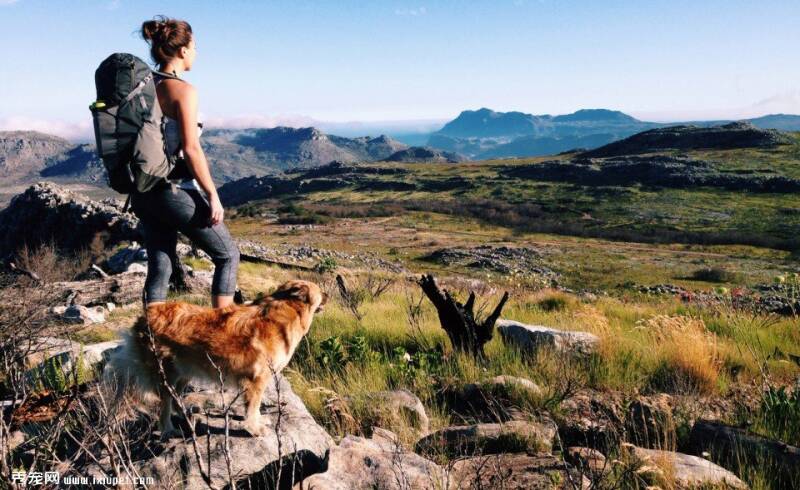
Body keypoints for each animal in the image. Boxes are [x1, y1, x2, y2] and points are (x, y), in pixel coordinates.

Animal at [107, 280, 328, 436]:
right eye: (319, 291)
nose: (328, 294)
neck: (285, 310)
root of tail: (144, 316)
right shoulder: (256, 380)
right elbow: (253, 407)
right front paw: (254, 429)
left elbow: (255, 408)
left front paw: (258, 421)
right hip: (166, 373)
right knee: (165, 403)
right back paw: (168, 430)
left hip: (185, 370)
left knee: (176, 395)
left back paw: (184, 413)